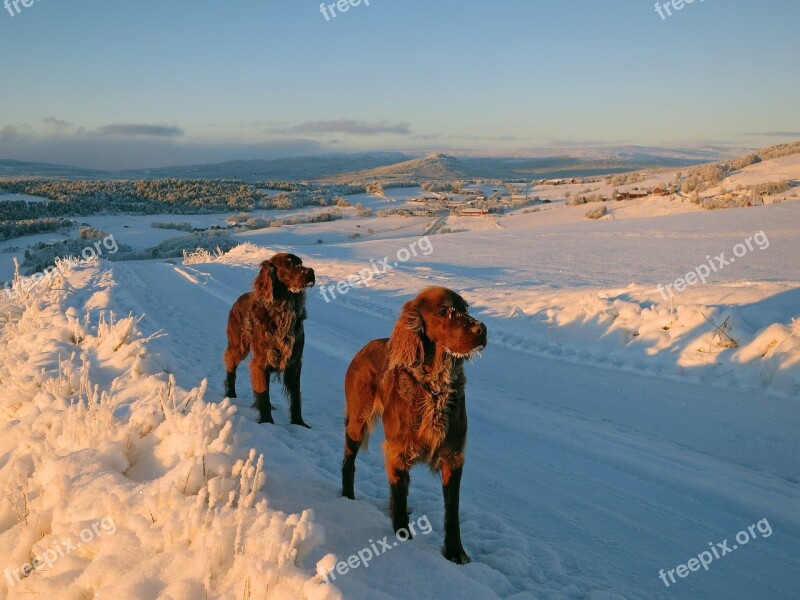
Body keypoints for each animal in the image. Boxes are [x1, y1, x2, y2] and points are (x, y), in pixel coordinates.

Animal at [225, 253, 316, 426]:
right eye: (289, 265)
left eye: (301, 262)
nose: (311, 271)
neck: (284, 312)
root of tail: (237, 301)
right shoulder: (261, 362)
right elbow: (263, 394)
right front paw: (267, 422)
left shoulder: (294, 363)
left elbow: (296, 396)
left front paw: (299, 423)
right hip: (238, 346)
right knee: (230, 363)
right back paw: (230, 394)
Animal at [340, 286, 484, 564]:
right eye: (443, 311)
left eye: (465, 308)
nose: (481, 329)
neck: (436, 389)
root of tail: (365, 347)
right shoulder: (398, 452)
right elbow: (399, 498)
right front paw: (403, 541)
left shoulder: (453, 457)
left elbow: (452, 513)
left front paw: (455, 553)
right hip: (357, 421)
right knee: (348, 460)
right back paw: (347, 498)